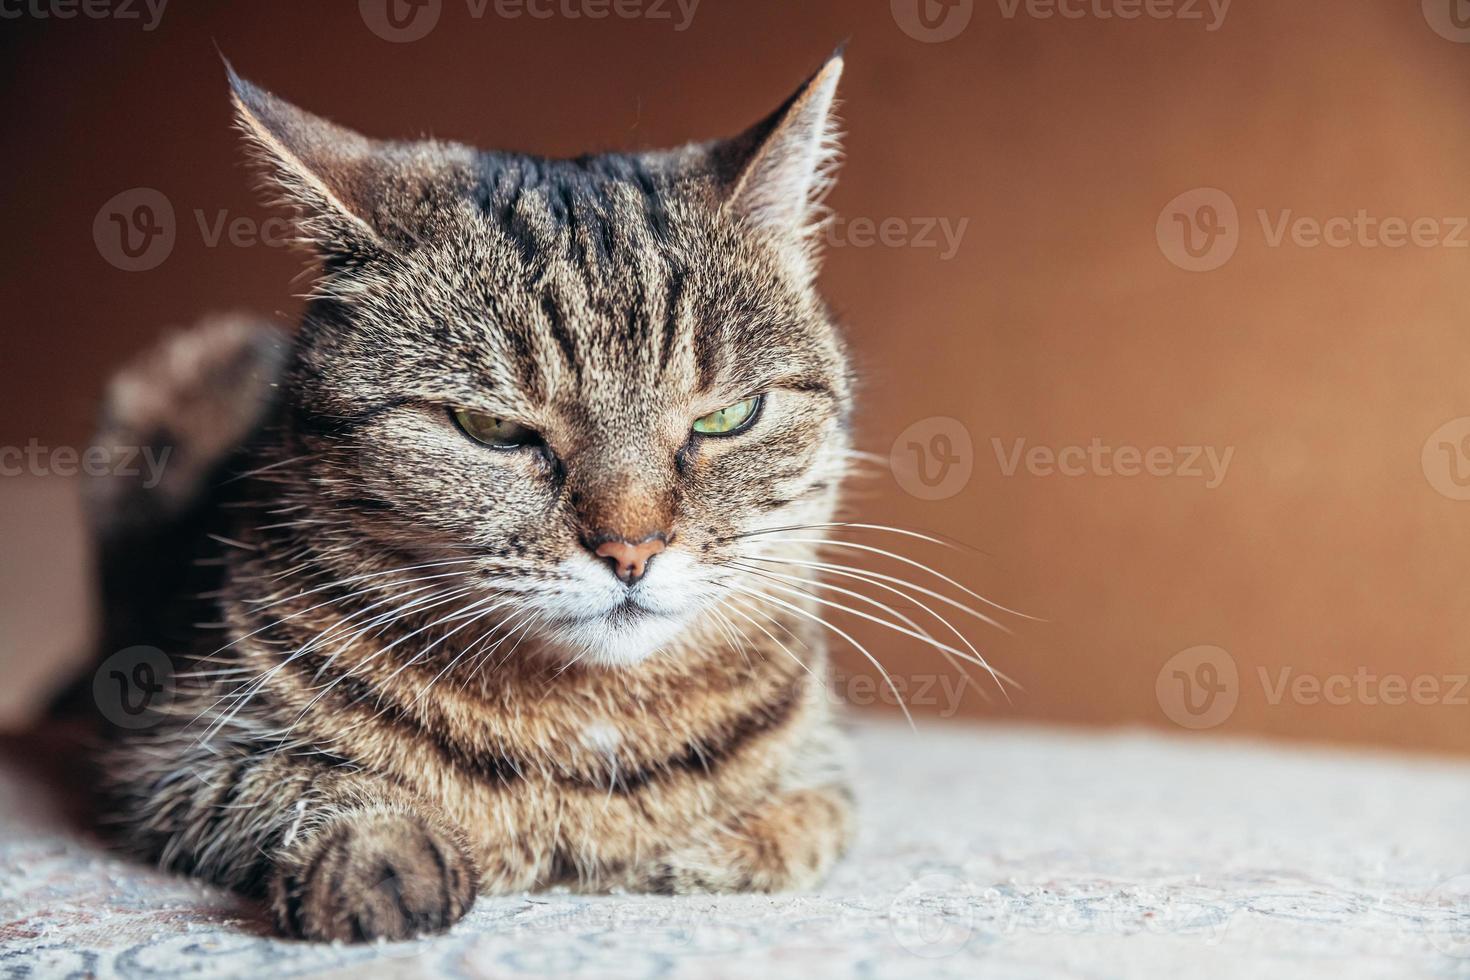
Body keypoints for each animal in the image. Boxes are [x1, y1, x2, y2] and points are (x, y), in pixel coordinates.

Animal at [85, 47, 864, 940]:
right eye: (490, 428)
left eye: (728, 417)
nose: (631, 550)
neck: (587, 724)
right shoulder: (169, 753)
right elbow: (307, 779)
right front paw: (381, 851)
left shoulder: (828, 770)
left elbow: (796, 825)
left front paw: (698, 854)